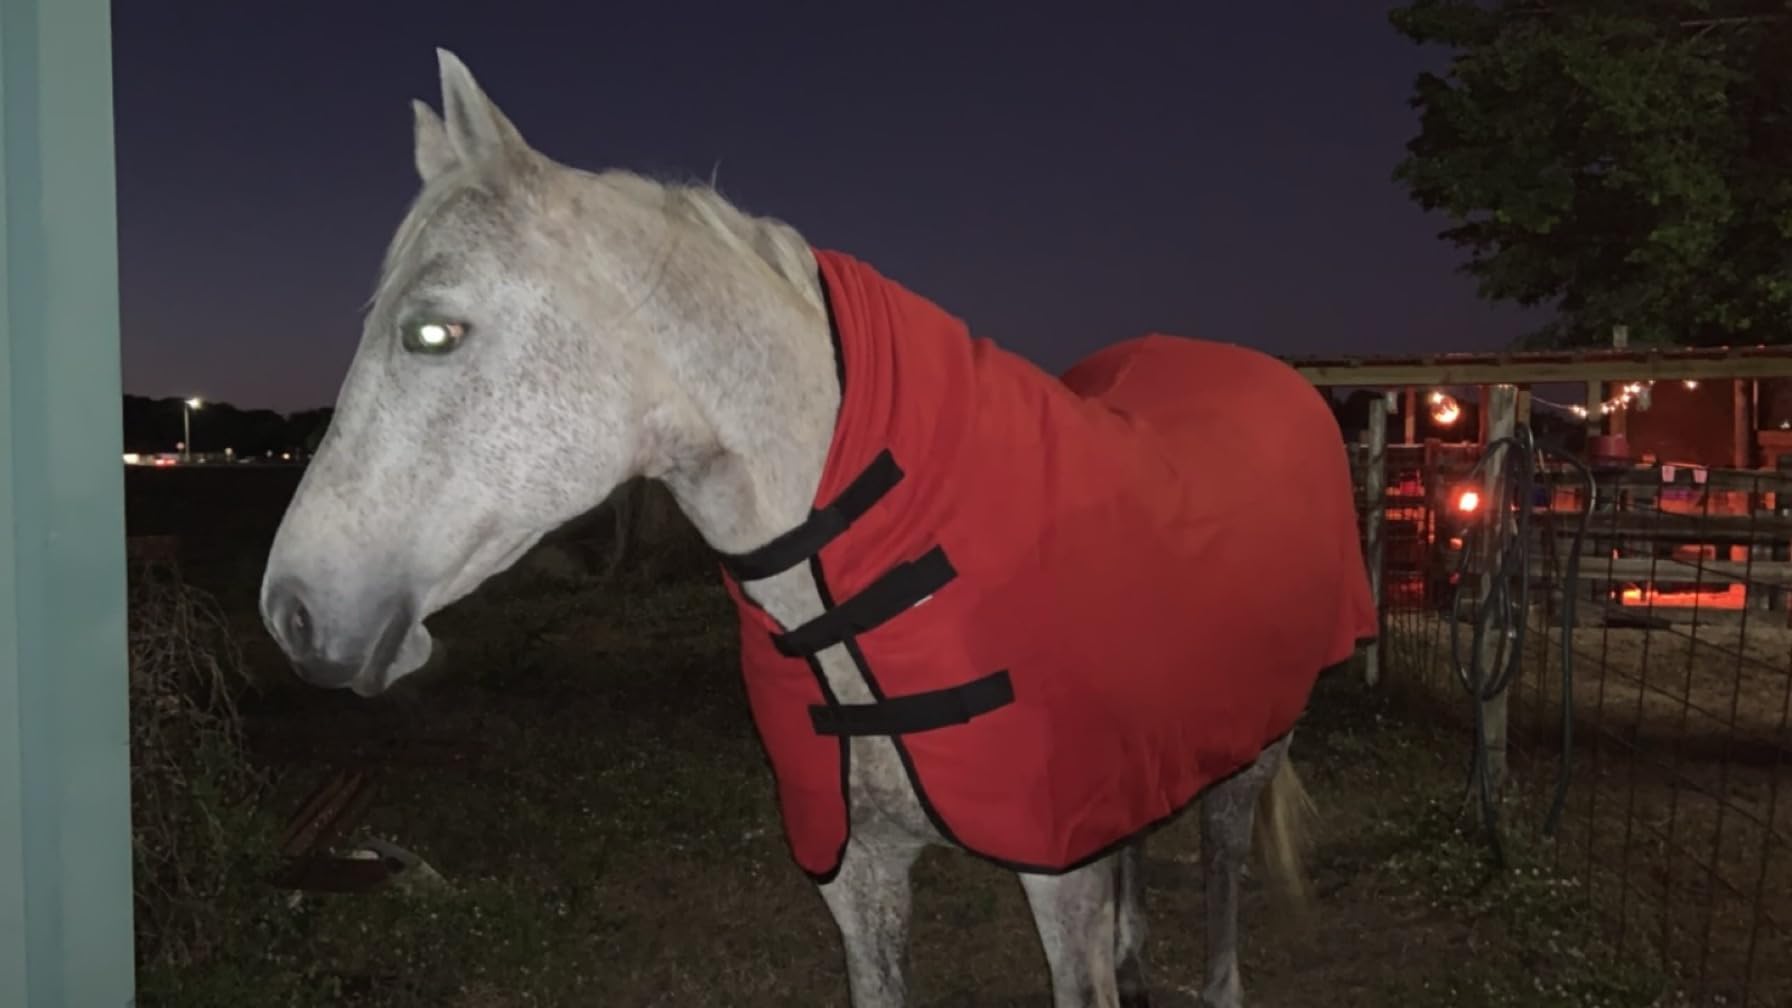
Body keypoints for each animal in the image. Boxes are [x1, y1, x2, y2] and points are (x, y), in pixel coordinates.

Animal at [260, 49, 1376, 1008]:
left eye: (432, 331)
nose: (291, 613)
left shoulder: (1055, 870)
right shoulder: (861, 872)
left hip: (1256, 743)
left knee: (1222, 864)